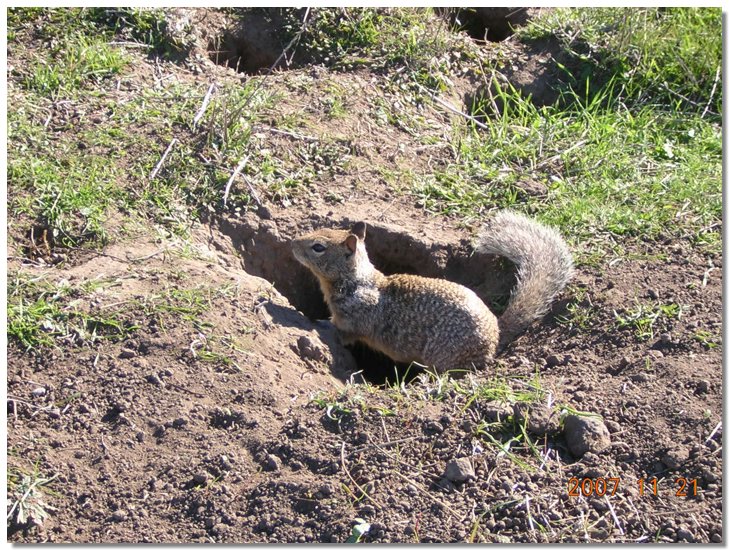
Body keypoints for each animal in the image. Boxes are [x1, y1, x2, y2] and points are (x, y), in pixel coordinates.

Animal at [292, 211, 576, 376]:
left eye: (318, 247)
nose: (293, 242)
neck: (356, 279)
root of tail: (496, 334)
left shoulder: (354, 317)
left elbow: (343, 332)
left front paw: (319, 324)